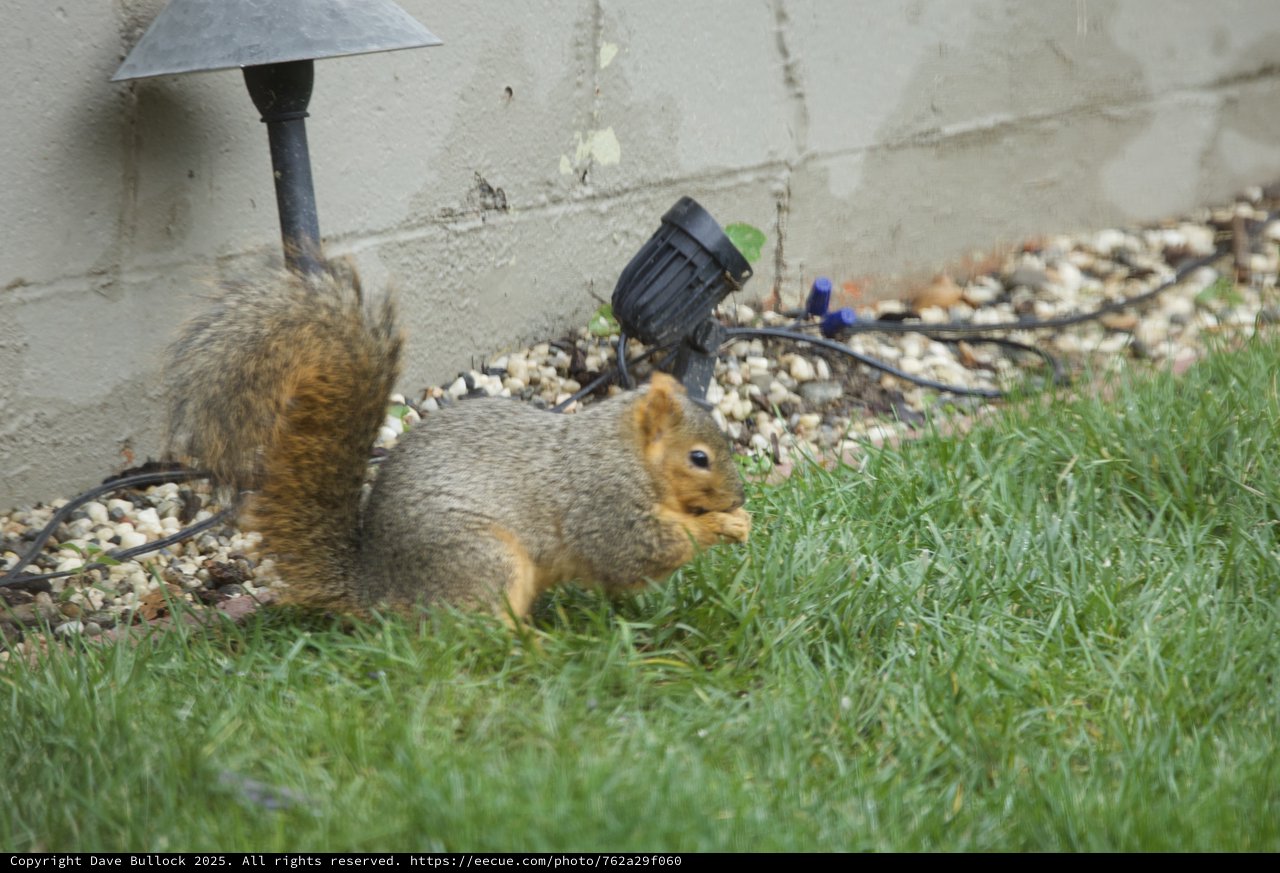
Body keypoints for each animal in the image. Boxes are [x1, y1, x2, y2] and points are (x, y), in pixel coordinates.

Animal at [164, 260, 751, 620]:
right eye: (699, 458)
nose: (739, 496)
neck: (625, 452)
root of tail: (379, 590)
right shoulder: (604, 503)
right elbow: (641, 551)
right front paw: (719, 525)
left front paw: (737, 520)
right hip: (483, 561)